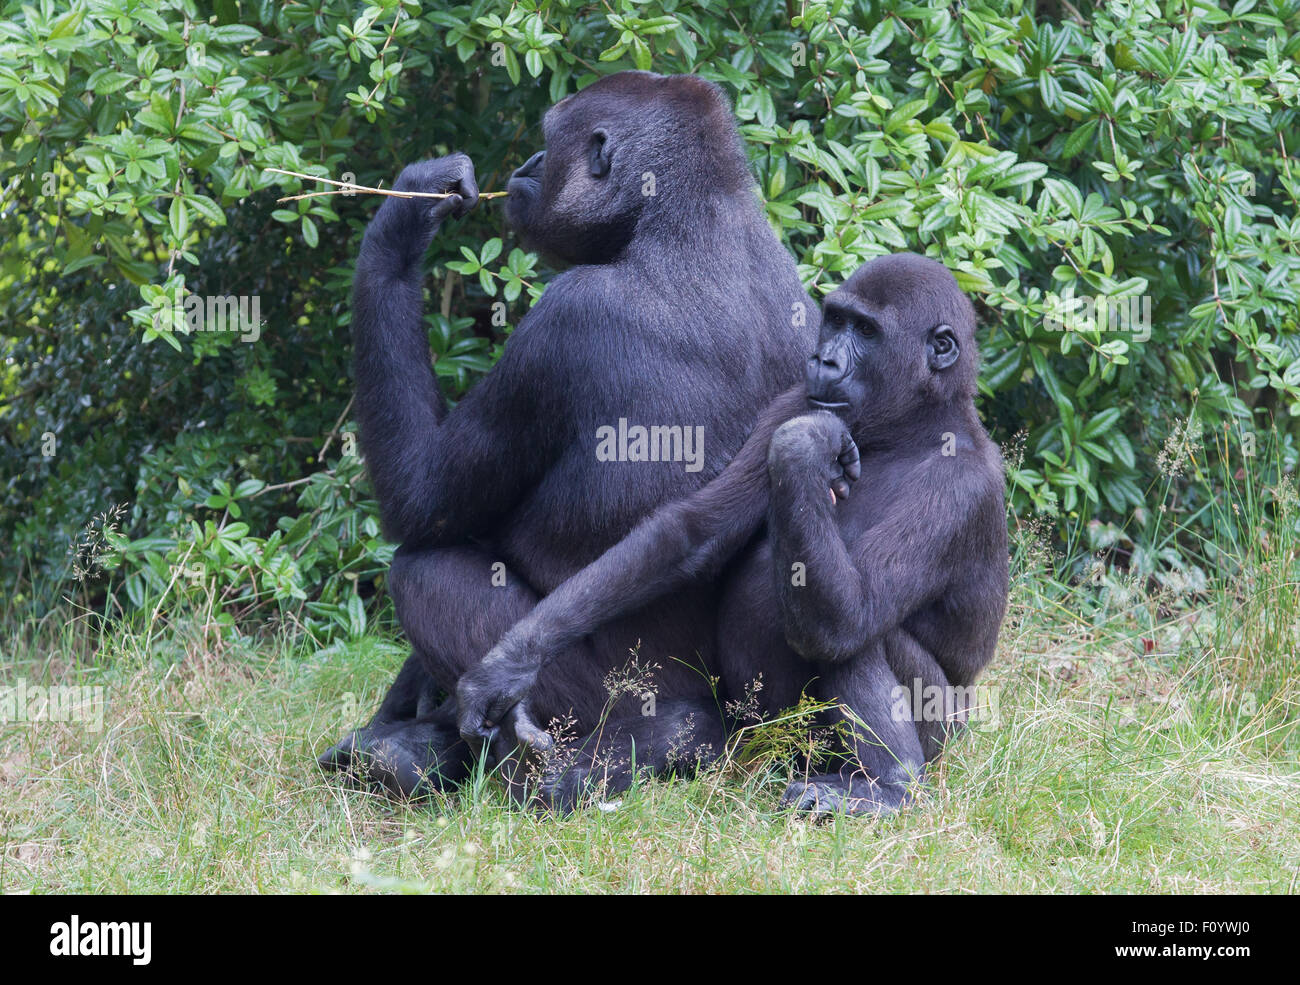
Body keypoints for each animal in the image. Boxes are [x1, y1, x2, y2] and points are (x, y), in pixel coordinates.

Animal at [317, 71, 811, 795]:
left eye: (549, 142)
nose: (524, 165)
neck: (686, 217)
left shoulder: (563, 320)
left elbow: (421, 502)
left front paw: (404, 219)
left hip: (612, 697)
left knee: (425, 572)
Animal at [462, 254, 1008, 816]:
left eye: (866, 331)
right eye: (836, 320)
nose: (823, 360)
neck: (913, 428)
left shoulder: (961, 491)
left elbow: (845, 620)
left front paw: (806, 445)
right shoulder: (792, 400)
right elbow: (693, 534)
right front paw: (510, 663)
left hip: (937, 733)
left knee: (849, 634)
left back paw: (891, 788)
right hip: (770, 737)